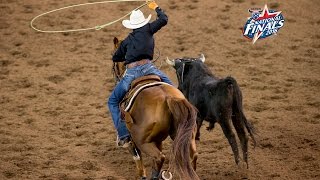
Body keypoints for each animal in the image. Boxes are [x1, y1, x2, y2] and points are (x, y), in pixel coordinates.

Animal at [110, 37, 200, 180]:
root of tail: (168, 99)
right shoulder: (158, 140)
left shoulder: (134, 142)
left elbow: (138, 159)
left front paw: (141, 175)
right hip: (187, 136)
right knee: (192, 156)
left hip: (143, 141)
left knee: (159, 158)